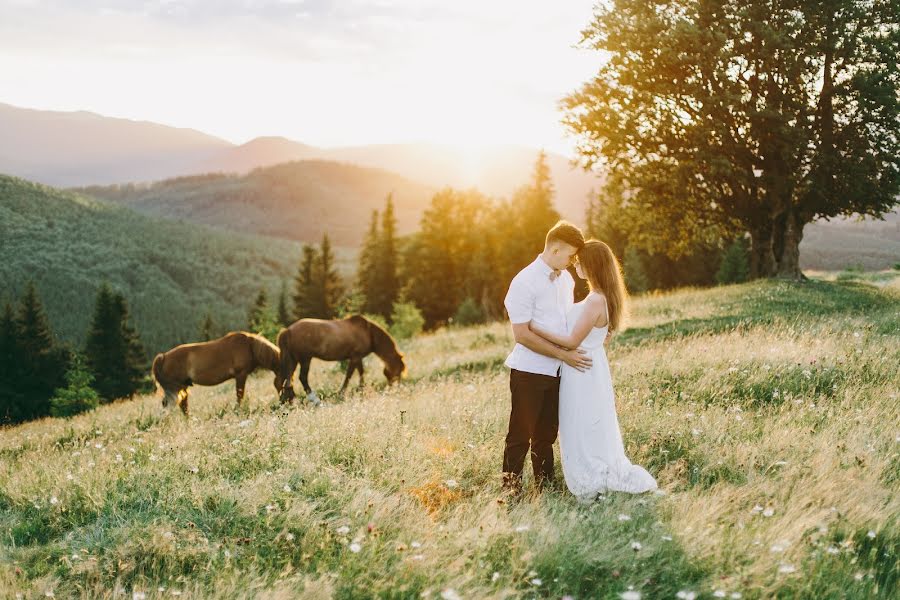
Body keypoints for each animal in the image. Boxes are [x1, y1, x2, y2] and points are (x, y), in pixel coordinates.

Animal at [150, 330, 282, 414]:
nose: (283, 402)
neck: (249, 346)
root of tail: (163, 357)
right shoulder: (240, 375)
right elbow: (240, 395)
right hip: (175, 389)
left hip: (182, 387)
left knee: (182, 407)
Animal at [278, 314, 408, 404]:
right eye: (399, 370)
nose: (395, 388)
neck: (368, 332)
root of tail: (288, 330)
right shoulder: (355, 357)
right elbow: (349, 375)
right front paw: (342, 393)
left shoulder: (358, 358)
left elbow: (361, 372)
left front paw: (361, 389)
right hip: (305, 359)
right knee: (302, 378)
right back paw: (314, 400)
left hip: (293, 360)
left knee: (289, 379)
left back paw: (289, 400)